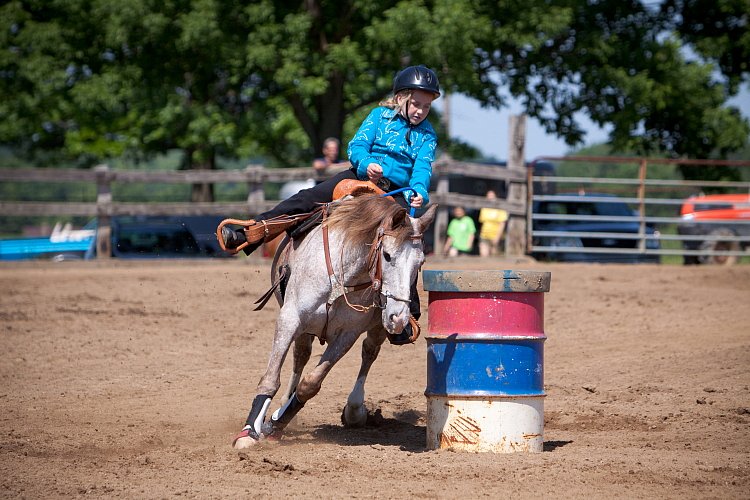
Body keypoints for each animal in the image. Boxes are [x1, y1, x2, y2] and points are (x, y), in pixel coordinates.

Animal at [232, 193, 438, 448]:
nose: (399, 318)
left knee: (369, 352)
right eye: (388, 255)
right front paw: (250, 431)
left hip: (380, 325)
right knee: (301, 356)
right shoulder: (290, 319)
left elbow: (311, 384)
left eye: (420, 264)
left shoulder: (347, 335)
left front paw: (275, 425)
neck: (342, 277)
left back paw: (353, 409)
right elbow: (271, 378)